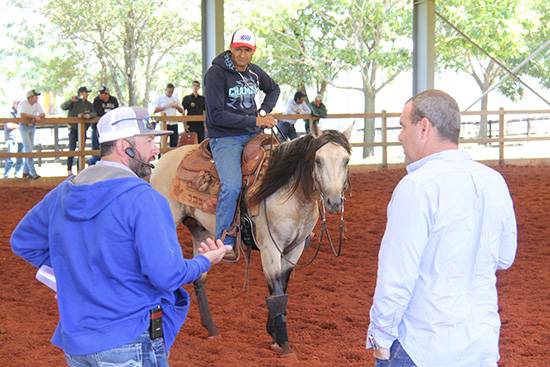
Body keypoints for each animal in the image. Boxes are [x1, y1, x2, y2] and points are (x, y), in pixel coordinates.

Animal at [150, 125, 354, 356]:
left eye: (346, 160)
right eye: (318, 160)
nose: (334, 201)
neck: (288, 193)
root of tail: (165, 159)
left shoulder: (295, 248)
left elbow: (282, 287)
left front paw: (274, 335)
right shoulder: (270, 248)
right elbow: (276, 291)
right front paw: (284, 343)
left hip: (200, 230)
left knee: (199, 277)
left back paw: (211, 329)